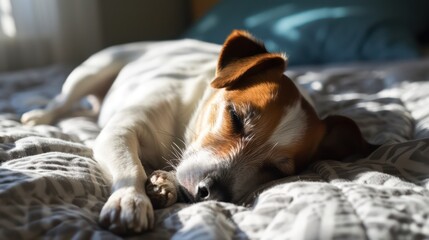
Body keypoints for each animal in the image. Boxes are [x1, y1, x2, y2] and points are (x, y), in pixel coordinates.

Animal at [20, 30, 376, 234]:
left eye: (276, 170)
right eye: (235, 117)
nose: (210, 193)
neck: (183, 127)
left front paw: (162, 183)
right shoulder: (119, 131)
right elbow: (130, 167)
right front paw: (131, 199)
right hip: (91, 71)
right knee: (64, 100)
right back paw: (40, 116)